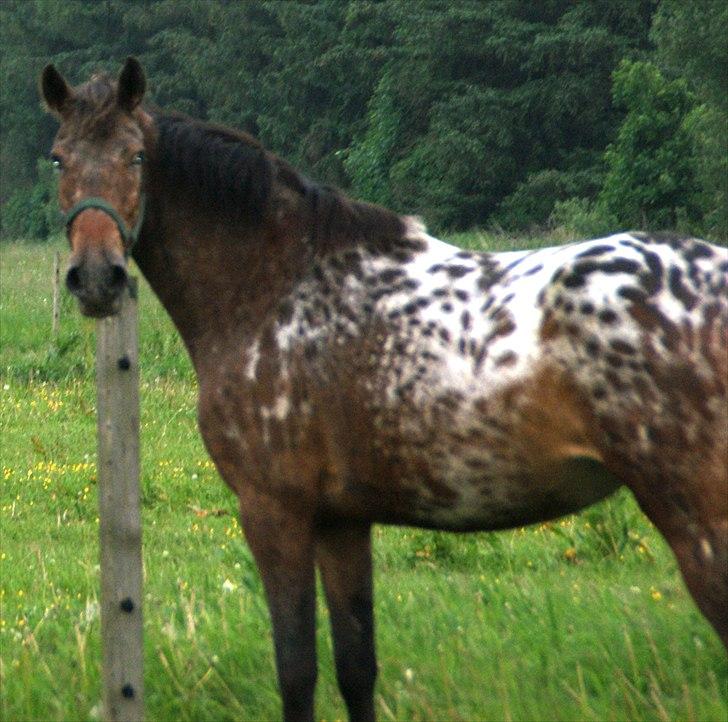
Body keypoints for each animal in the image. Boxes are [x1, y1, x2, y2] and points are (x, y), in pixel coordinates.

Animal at [41, 57, 728, 720]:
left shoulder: (274, 511)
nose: (97, 277)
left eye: (135, 156)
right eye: (59, 157)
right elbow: (355, 670)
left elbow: (297, 673)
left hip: (699, 526)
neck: (277, 286)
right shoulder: (342, 522)